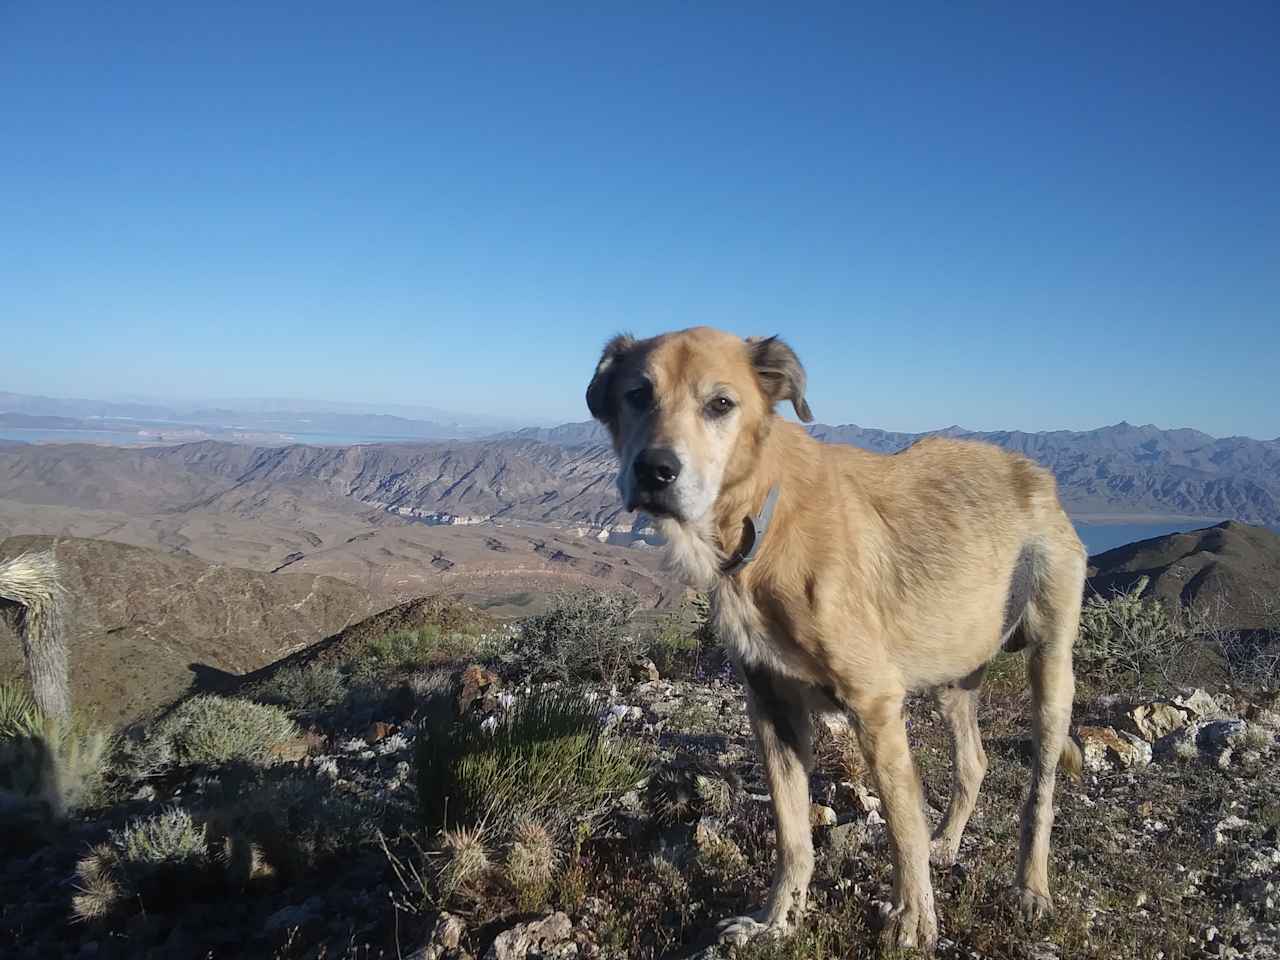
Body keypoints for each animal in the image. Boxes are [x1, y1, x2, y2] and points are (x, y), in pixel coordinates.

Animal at [586, 327, 1080, 952]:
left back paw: (1030, 888)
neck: (762, 520)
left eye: (720, 404)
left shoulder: (874, 705)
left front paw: (914, 921)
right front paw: (776, 920)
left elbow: (902, 826)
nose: (654, 470)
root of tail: (1035, 473)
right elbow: (793, 833)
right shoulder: (771, 708)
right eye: (637, 395)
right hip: (955, 673)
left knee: (1040, 789)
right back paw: (948, 845)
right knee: (974, 761)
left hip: (1051, 668)